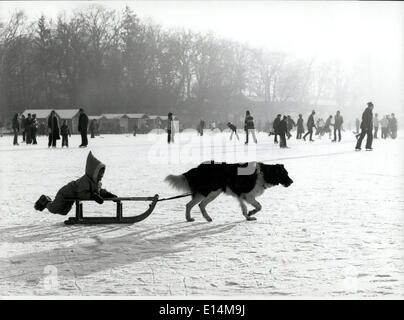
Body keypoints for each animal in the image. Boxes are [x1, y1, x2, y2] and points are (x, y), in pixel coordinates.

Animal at [165, 161, 294, 221]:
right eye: (284, 174)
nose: (292, 182)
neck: (263, 173)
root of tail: (198, 168)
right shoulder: (247, 195)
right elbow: (259, 206)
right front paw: (251, 213)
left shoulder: (241, 195)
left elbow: (244, 208)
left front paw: (248, 216)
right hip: (208, 191)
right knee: (192, 204)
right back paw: (191, 218)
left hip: (212, 193)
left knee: (198, 205)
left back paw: (204, 218)